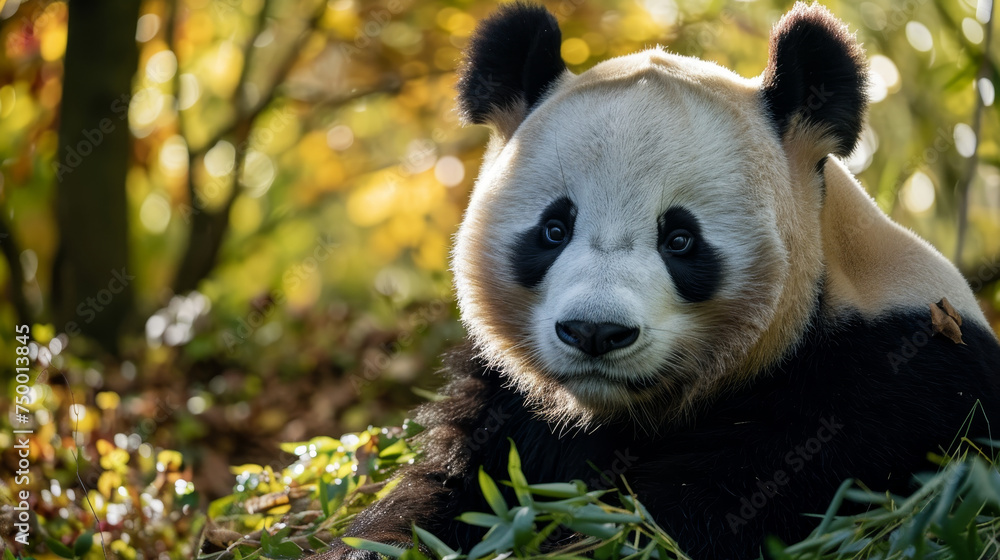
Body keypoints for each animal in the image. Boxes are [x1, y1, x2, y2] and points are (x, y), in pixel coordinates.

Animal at [318, 2, 1000, 558]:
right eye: (553, 229)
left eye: (680, 240)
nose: (594, 332)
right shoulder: (508, 407)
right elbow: (443, 498)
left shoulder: (877, 392)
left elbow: (692, 517)